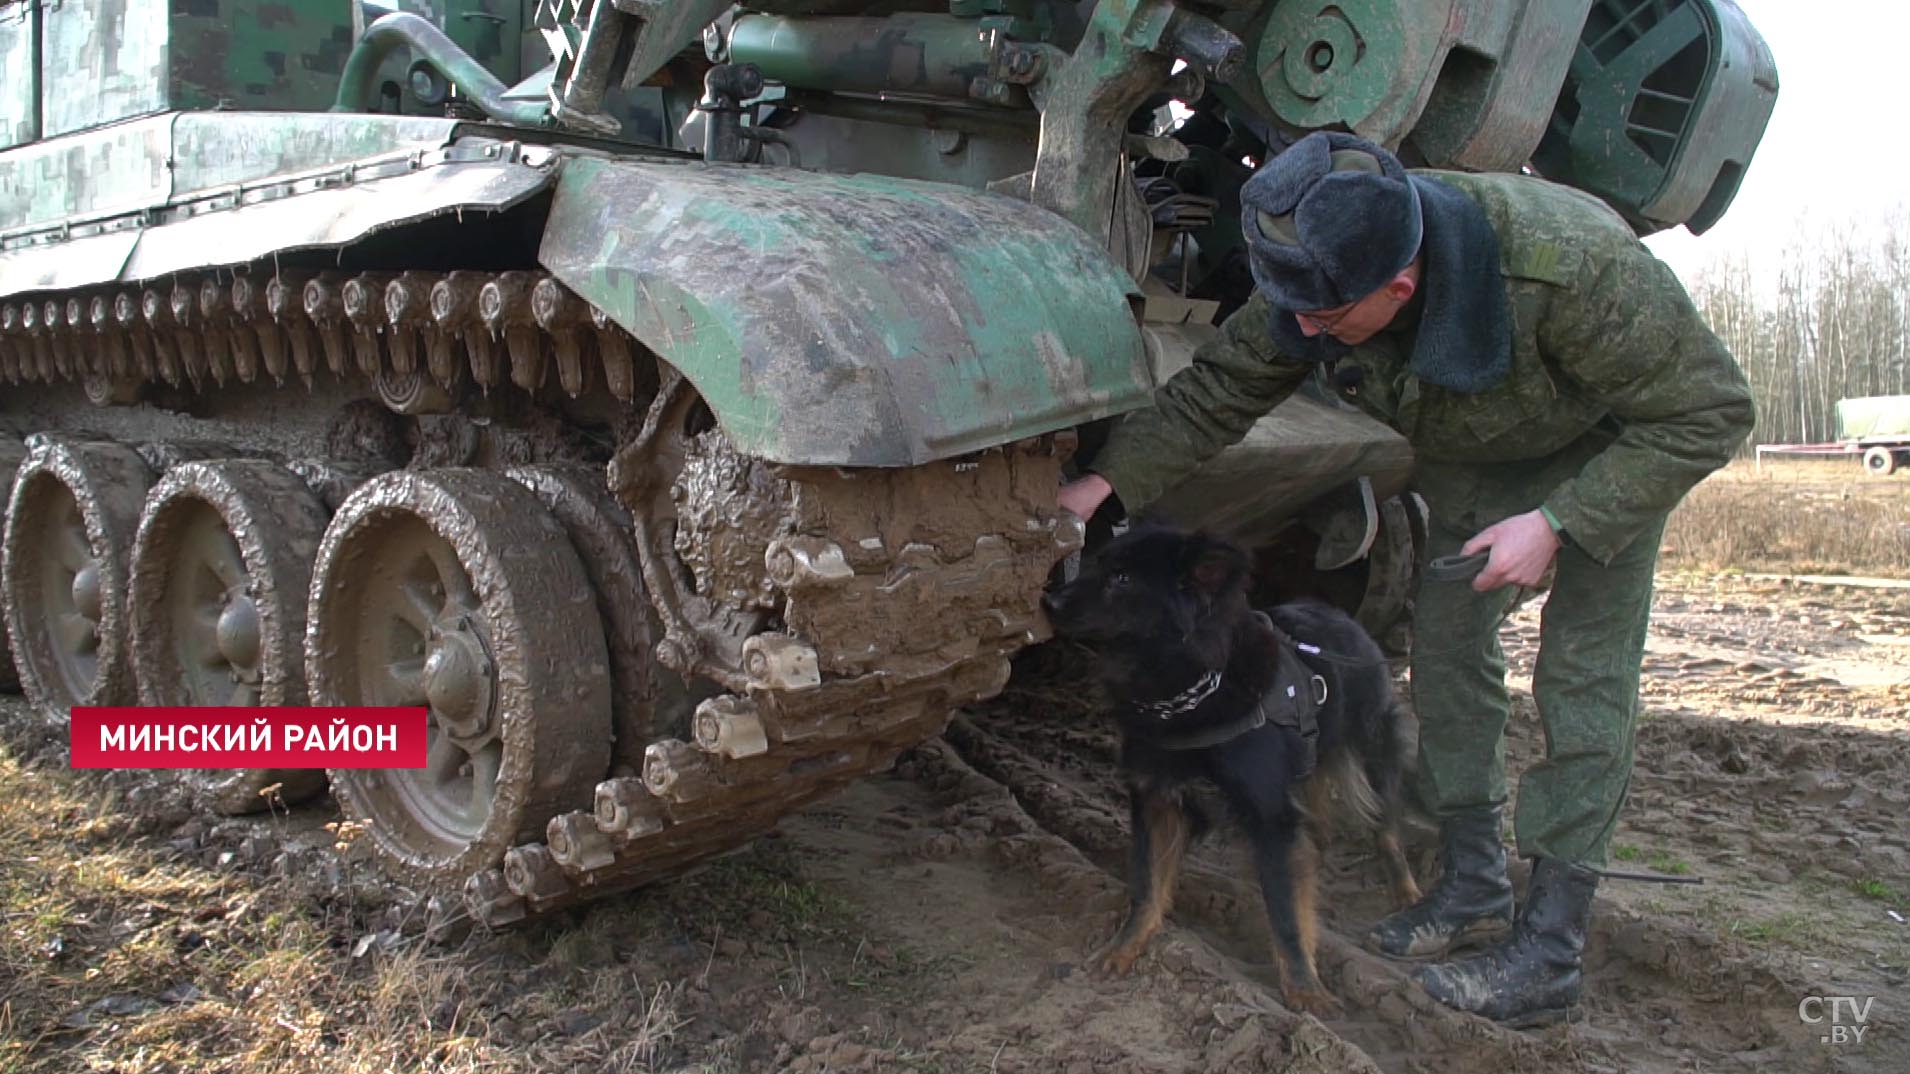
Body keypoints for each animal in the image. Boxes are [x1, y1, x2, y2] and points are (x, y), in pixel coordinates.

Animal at [1046, 527, 1421, 1009]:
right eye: (1095, 564)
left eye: (1123, 578)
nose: (1048, 600)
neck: (1189, 690)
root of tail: (1340, 616)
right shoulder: (1156, 799)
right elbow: (1146, 885)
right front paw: (1125, 946)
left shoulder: (1269, 813)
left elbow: (1284, 909)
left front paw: (1304, 987)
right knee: (1318, 827)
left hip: (1373, 748)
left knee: (1386, 827)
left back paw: (1406, 891)